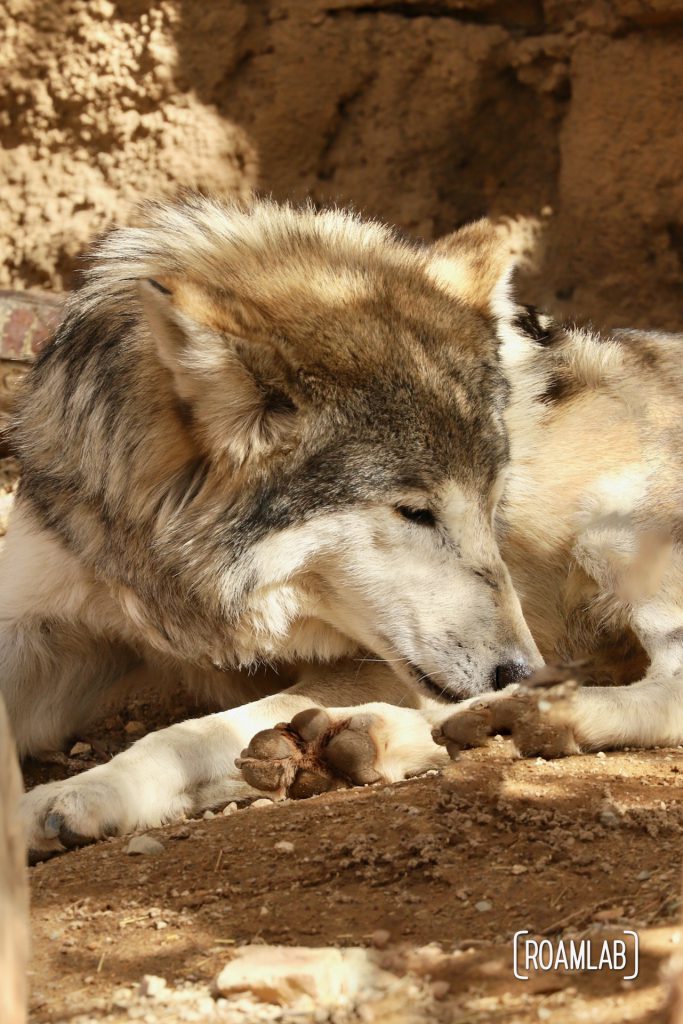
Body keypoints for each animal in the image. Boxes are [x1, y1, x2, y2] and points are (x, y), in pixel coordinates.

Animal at [3, 195, 683, 860]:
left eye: (493, 504)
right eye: (415, 512)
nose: (520, 670)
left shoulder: (380, 662)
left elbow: (189, 734)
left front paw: (81, 795)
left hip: (612, 534)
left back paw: (515, 719)